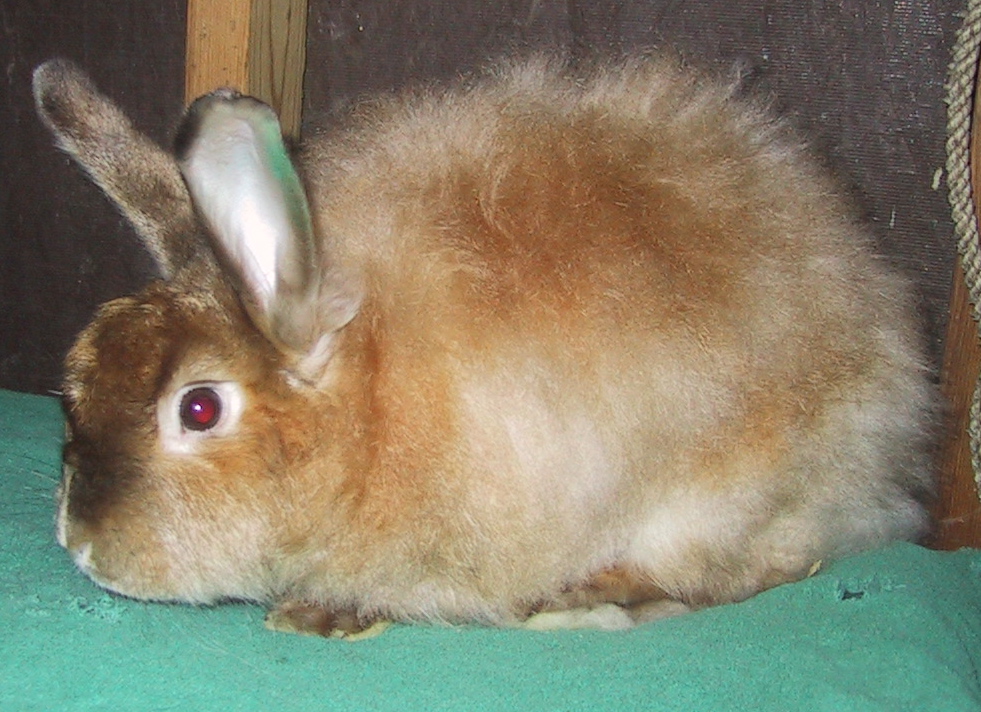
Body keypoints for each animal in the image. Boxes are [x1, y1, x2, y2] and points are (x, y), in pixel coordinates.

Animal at [33, 54, 935, 636]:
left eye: (198, 409)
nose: (80, 545)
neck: (372, 402)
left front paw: (322, 614)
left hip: (723, 499)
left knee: (754, 570)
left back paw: (593, 602)